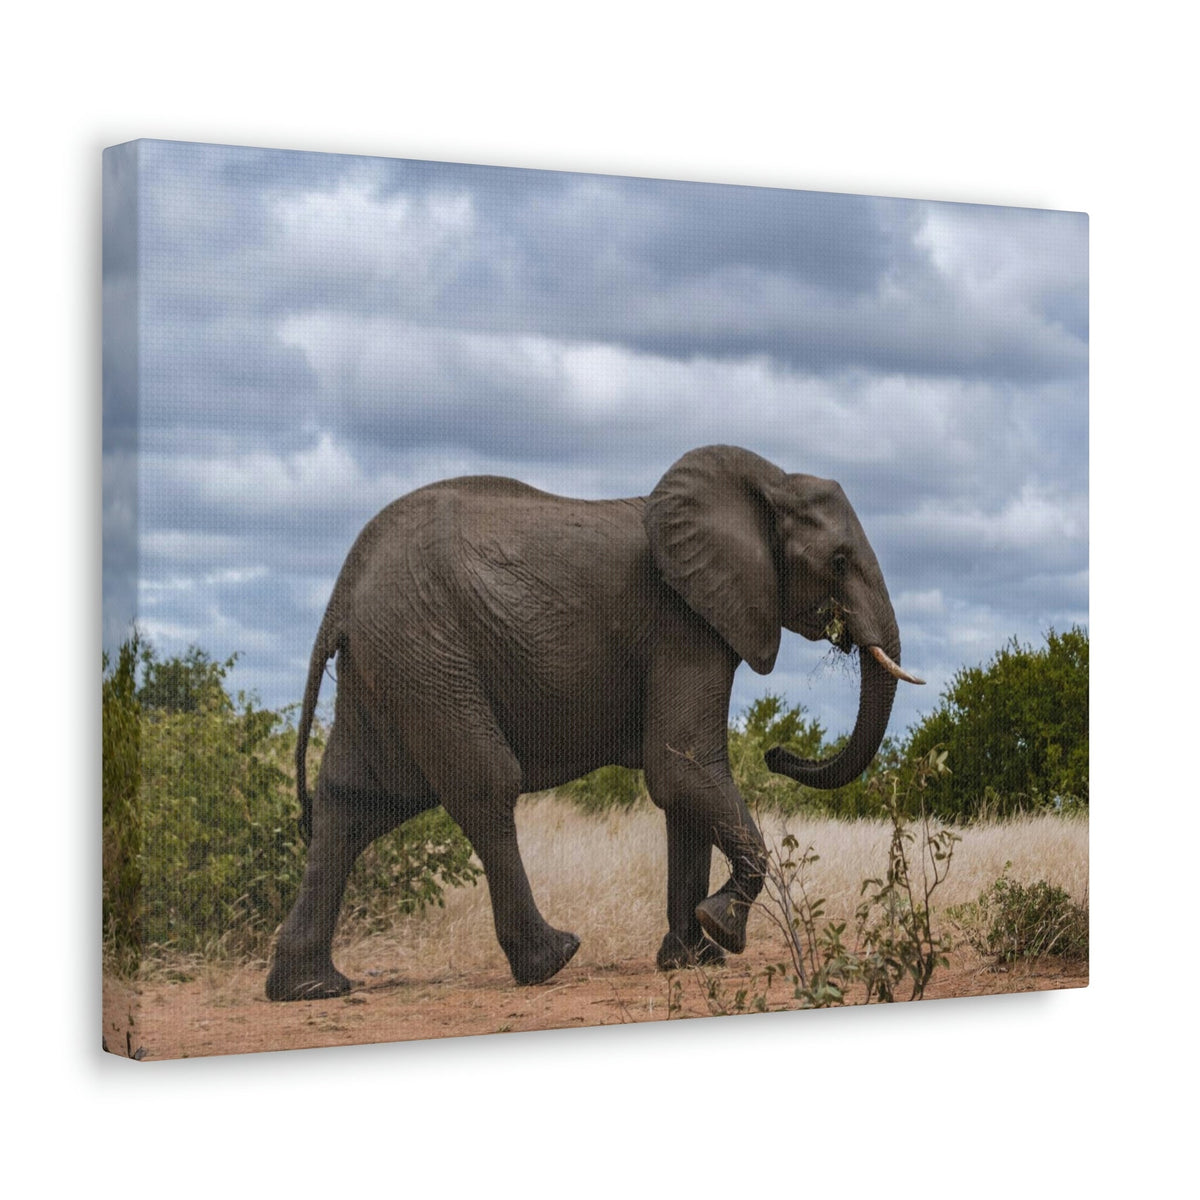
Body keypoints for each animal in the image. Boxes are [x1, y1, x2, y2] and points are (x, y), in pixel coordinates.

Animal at [266, 445, 923, 1001]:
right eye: (838, 561)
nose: (777, 753)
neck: (766, 481)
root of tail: (344, 586)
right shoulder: (682, 621)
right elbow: (682, 765)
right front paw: (723, 931)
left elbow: (681, 785)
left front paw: (691, 960)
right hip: (425, 650)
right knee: (485, 785)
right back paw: (551, 960)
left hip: (388, 659)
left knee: (354, 801)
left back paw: (310, 988)